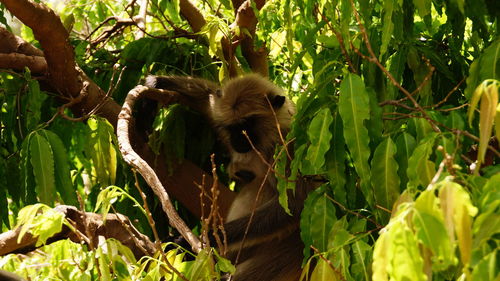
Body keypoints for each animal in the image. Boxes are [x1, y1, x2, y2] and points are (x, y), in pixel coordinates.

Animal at [143, 73, 310, 278]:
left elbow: (294, 204)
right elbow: (209, 101)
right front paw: (157, 82)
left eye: (246, 126)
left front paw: (206, 239)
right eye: (231, 128)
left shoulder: (285, 146)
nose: (237, 140)